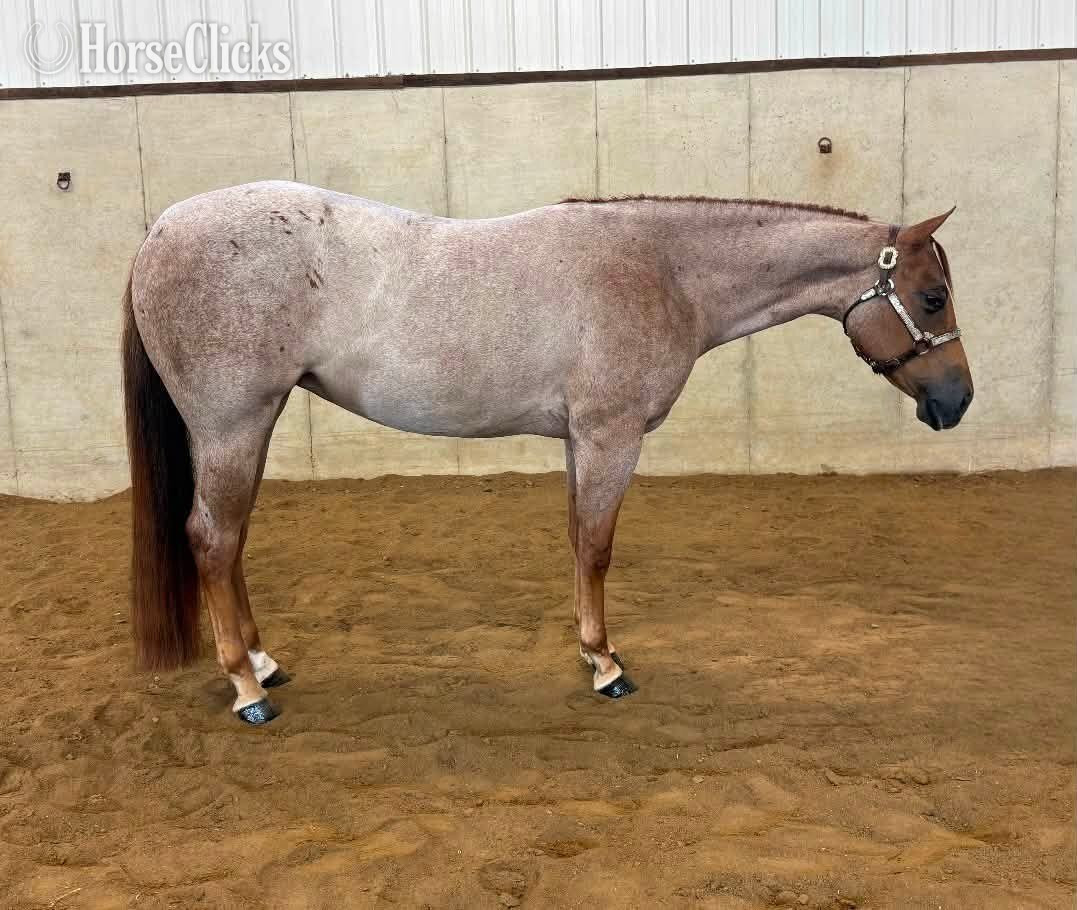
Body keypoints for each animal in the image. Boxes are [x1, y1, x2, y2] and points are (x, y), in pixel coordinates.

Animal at [121, 183, 972, 724]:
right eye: (931, 298)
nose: (956, 401)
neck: (662, 269)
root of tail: (159, 231)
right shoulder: (609, 435)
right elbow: (595, 547)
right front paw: (607, 666)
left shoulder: (579, 441)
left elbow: (574, 541)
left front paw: (588, 653)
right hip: (233, 426)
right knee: (212, 540)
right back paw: (247, 689)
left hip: (249, 428)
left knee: (229, 544)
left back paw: (263, 662)